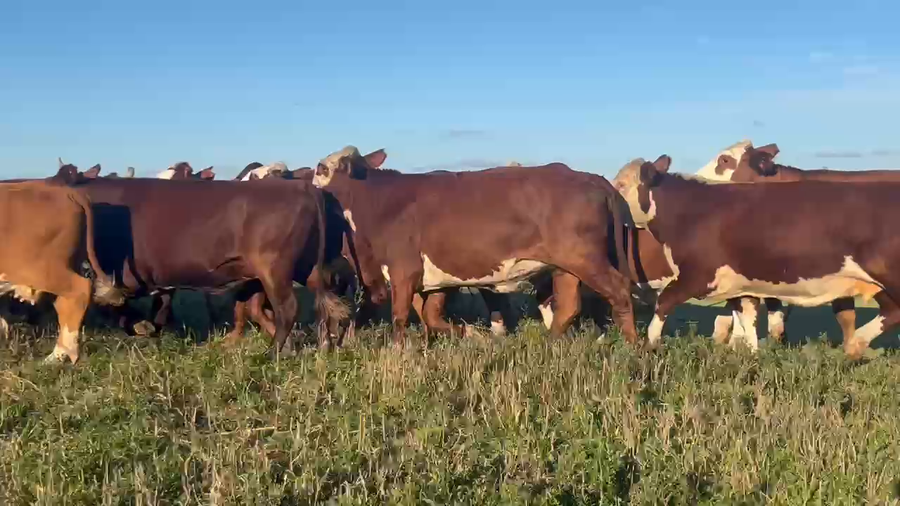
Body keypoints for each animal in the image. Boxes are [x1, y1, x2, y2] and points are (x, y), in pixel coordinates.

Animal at [310, 146, 639, 347]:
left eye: (321, 169)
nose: (311, 182)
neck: (382, 203)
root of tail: (592, 178)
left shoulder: (404, 270)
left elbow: (401, 315)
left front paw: (397, 350)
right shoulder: (436, 279)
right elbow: (430, 317)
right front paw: (472, 335)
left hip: (586, 258)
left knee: (619, 291)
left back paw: (634, 346)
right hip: (565, 264)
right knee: (569, 304)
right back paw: (550, 344)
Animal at [615, 154, 895, 357]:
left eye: (621, 184)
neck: (689, 211)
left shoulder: (698, 275)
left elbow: (664, 302)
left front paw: (649, 345)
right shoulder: (739, 283)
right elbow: (747, 318)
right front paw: (751, 355)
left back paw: (857, 341)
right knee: (892, 311)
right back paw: (857, 343)